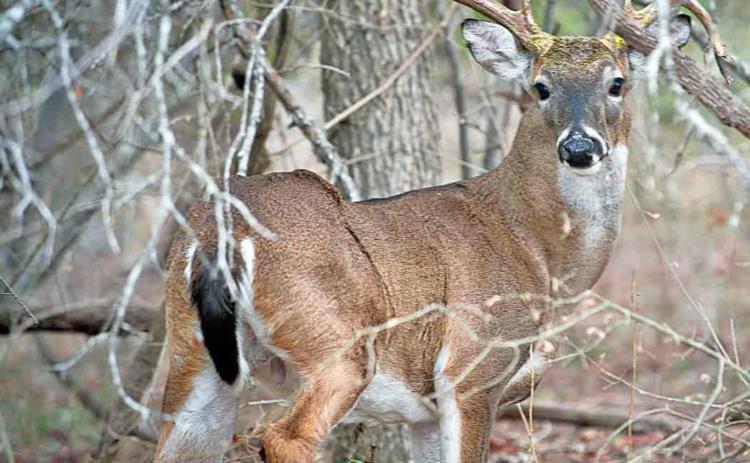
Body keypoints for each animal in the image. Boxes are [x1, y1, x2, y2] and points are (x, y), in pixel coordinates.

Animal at [155, 1, 724, 462]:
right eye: (540, 87)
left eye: (616, 83)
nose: (579, 147)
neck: (537, 250)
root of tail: (218, 237)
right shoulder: (473, 370)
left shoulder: (424, 411)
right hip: (337, 342)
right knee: (286, 437)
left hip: (191, 355)